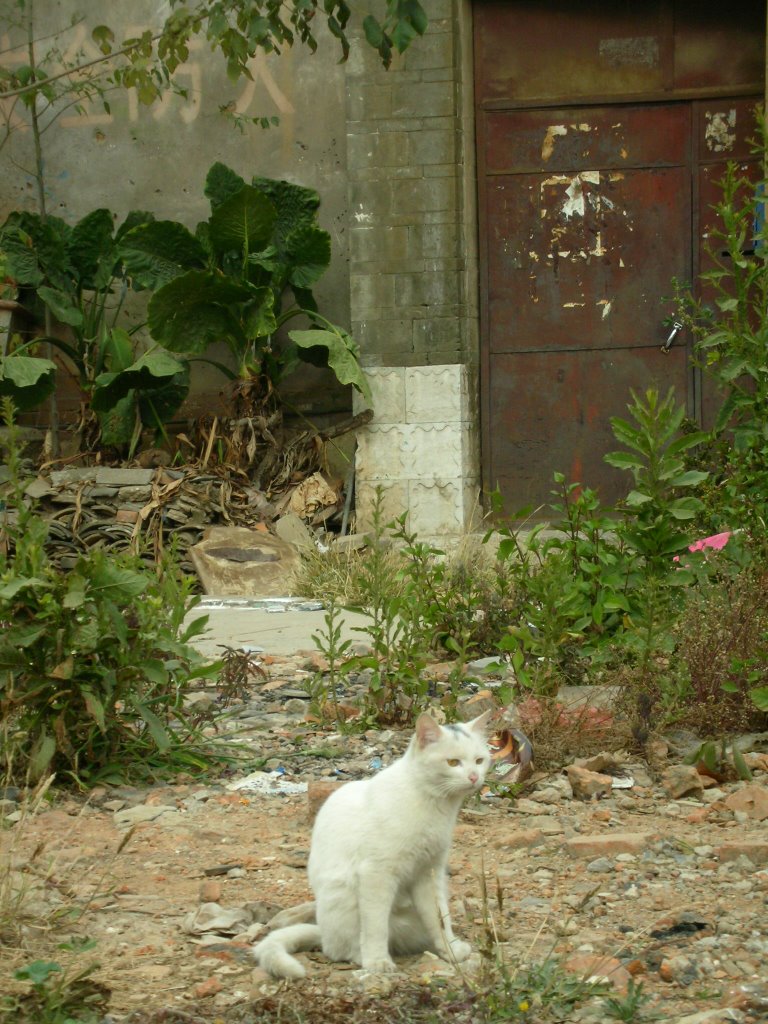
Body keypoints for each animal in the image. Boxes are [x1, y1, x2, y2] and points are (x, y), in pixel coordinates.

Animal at [252, 708, 493, 978]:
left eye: (479, 760)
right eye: (453, 763)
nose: (474, 777)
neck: (435, 804)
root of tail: (323, 934)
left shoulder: (429, 872)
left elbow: (440, 918)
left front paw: (449, 949)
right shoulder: (376, 874)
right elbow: (376, 925)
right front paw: (377, 961)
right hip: (343, 898)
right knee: (343, 948)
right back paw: (364, 956)